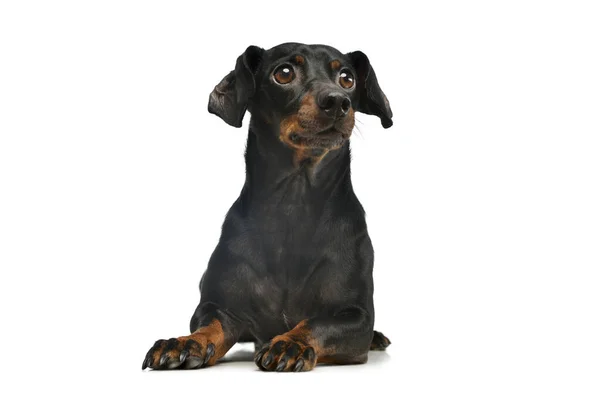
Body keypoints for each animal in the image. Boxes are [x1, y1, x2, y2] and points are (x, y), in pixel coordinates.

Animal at [141, 41, 394, 372]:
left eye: (347, 78)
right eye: (283, 73)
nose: (338, 101)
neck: (294, 204)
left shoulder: (356, 317)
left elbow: (316, 323)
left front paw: (290, 343)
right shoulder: (218, 307)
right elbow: (211, 326)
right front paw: (185, 342)